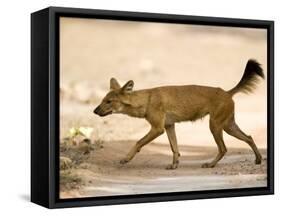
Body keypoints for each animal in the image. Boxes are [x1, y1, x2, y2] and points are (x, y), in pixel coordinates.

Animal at [93, 60, 262, 170]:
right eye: (102, 100)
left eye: (109, 101)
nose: (94, 111)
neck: (146, 100)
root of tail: (227, 92)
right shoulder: (169, 125)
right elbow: (174, 147)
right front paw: (174, 165)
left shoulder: (158, 128)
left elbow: (138, 142)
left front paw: (126, 159)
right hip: (228, 125)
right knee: (248, 137)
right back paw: (258, 160)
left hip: (215, 125)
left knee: (224, 148)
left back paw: (210, 164)